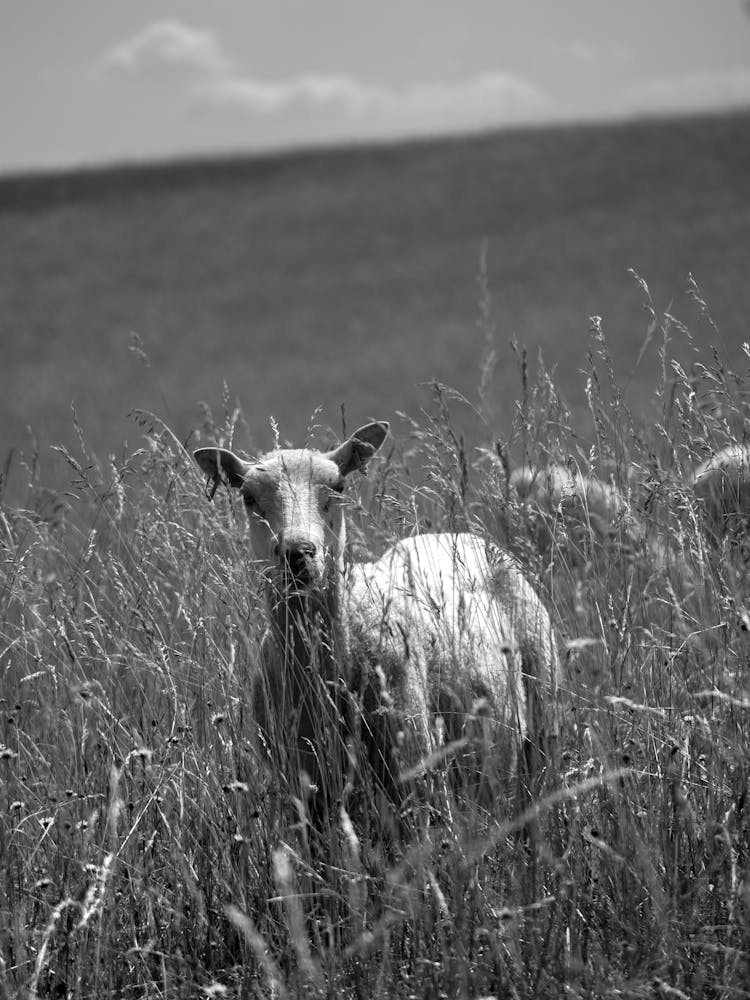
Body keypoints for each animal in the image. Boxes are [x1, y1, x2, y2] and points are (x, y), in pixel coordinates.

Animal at [194, 422, 558, 827]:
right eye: (247, 497)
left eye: (338, 487)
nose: (299, 553)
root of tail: (460, 534)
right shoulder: (301, 788)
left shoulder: (413, 770)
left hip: (543, 713)